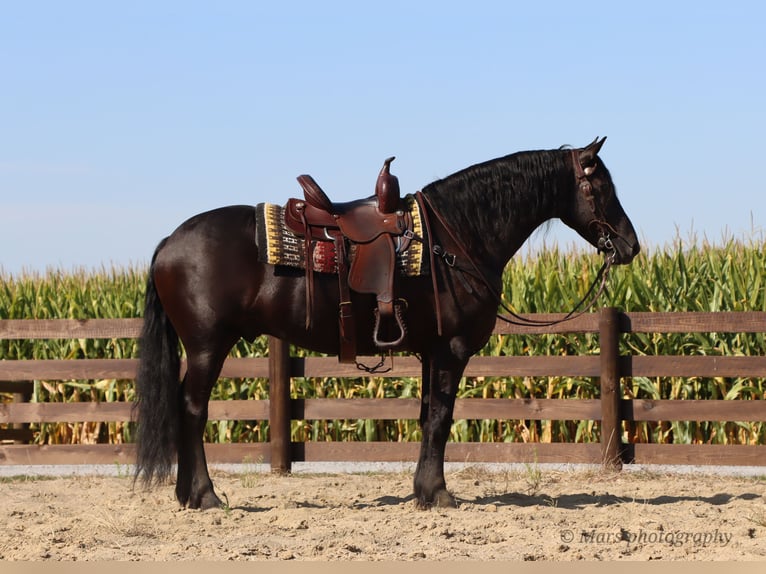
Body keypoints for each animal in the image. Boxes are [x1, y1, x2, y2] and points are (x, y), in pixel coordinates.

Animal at [134, 137, 639, 510]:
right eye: (600, 188)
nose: (630, 246)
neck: (455, 236)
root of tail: (169, 241)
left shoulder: (431, 352)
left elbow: (426, 416)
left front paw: (423, 490)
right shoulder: (451, 350)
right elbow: (440, 418)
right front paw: (438, 494)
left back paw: (187, 494)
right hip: (207, 346)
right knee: (192, 410)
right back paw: (204, 495)